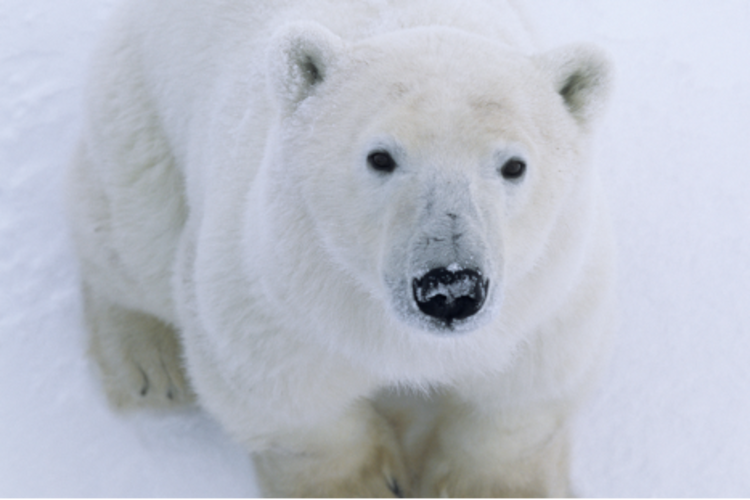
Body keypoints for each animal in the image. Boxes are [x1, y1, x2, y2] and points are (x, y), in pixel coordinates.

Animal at [67, 0, 616, 498]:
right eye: (381, 157)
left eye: (514, 165)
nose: (450, 287)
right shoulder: (279, 281)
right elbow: (286, 399)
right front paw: (366, 484)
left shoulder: (548, 288)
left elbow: (525, 393)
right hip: (136, 113)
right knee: (133, 237)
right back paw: (150, 366)